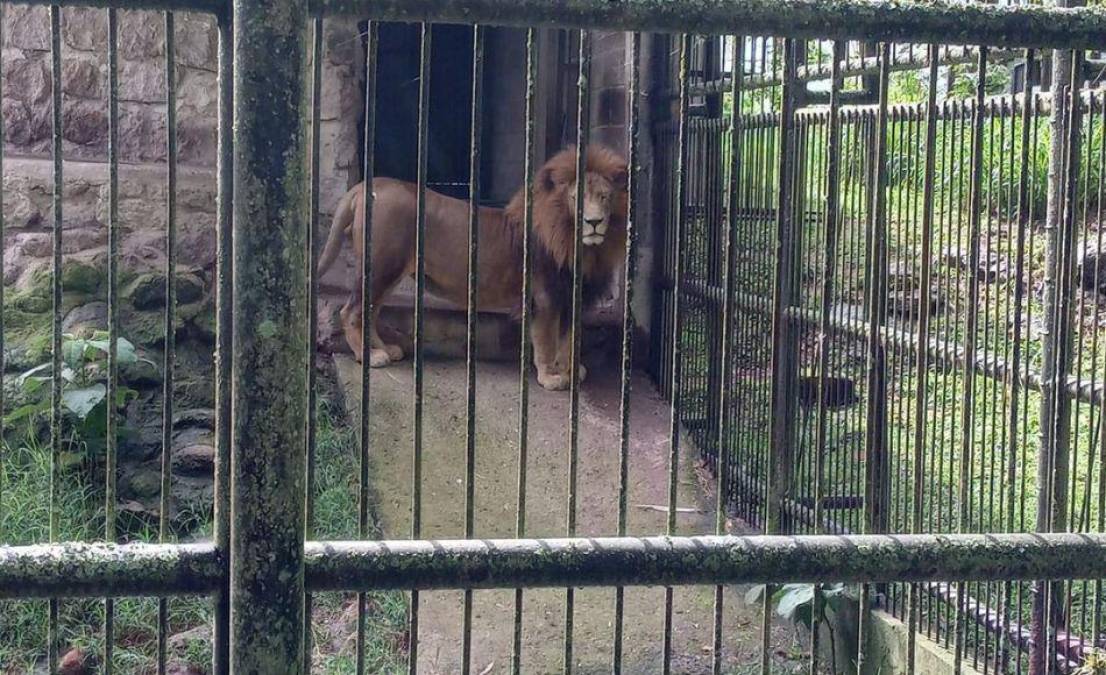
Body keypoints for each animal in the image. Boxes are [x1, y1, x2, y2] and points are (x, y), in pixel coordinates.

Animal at [316, 144, 628, 391]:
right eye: (576, 198)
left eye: (605, 196)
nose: (594, 222)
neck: (579, 244)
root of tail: (364, 187)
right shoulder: (545, 298)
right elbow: (547, 340)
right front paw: (551, 376)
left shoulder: (571, 297)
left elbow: (569, 338)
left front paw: (570, 370)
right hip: (382, 267)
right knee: (351, 311)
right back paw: (370, 356)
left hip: (387, 273)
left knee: (370, 311)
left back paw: (383, 349)